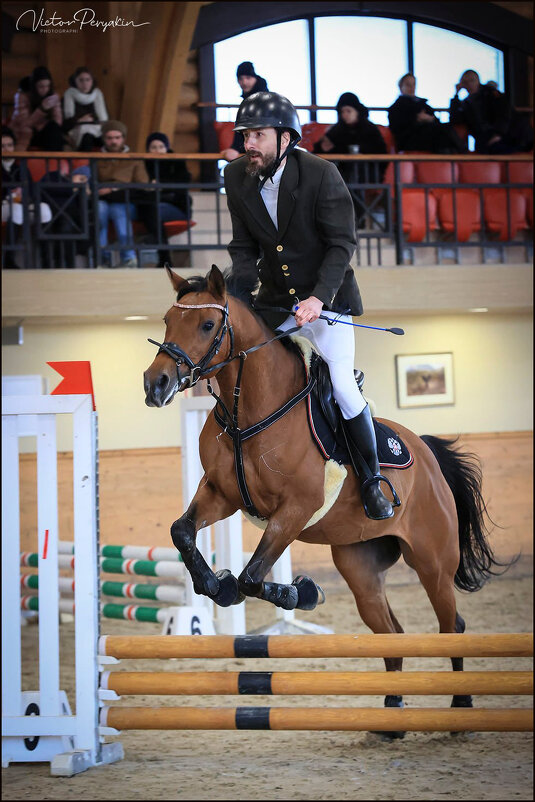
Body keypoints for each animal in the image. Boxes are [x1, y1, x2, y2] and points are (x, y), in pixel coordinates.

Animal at [142, 264, 502, 732]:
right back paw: (392, 713)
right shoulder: (221, 495)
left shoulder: (295, 509)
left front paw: (302, 592)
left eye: (206, 325)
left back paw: (459, 705)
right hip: (360, 566)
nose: (156, 384)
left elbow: (252, 577)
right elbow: (182, 531)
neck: (251, 409)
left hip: (433, 561)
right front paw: (214, 585)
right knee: (391, 632)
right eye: (168, 320)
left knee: (451, 626)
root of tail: (425, 452)